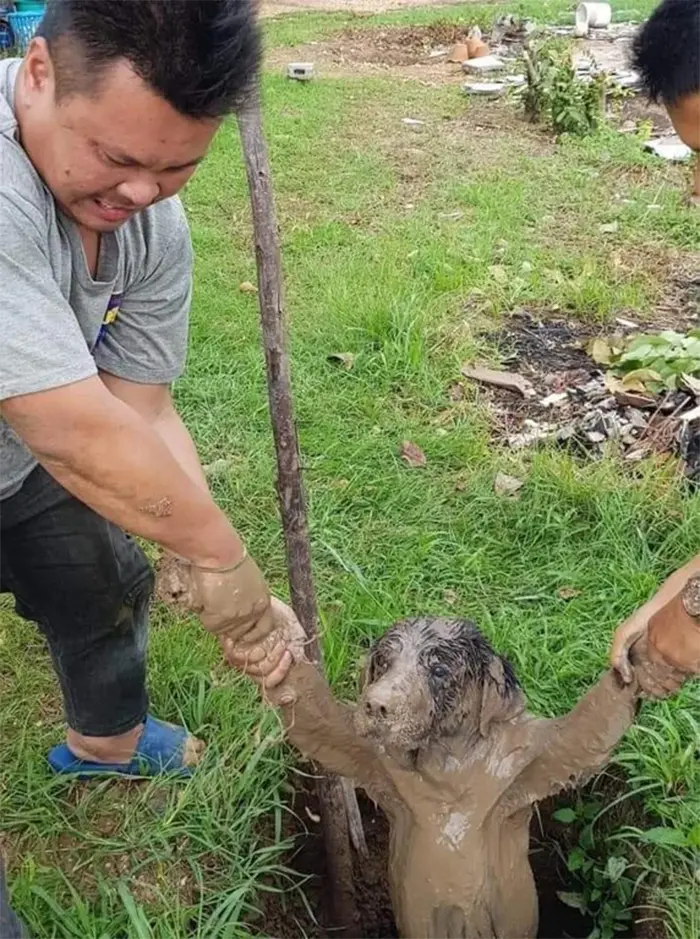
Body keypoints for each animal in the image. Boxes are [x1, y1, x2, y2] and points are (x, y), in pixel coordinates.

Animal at [266, 616, 680, 939]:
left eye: (438, 670)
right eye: (383, 662)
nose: (375, 704)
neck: (450, 767)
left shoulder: (530, 758)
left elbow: (585, 733)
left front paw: (646, 656)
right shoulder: (371, 756)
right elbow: (320, 727)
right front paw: (267, 647)